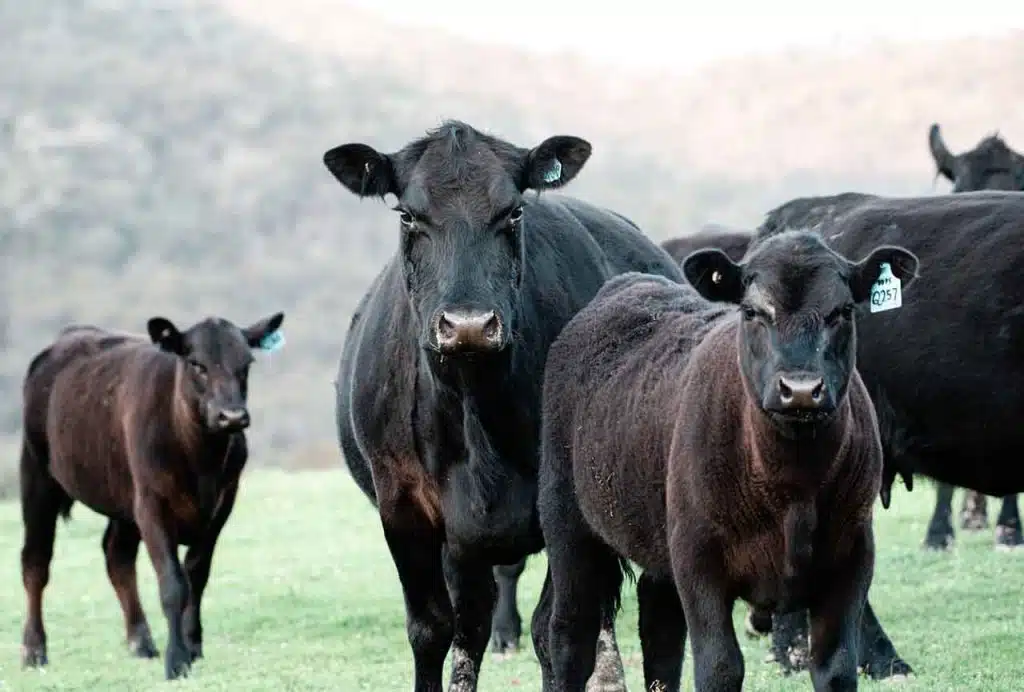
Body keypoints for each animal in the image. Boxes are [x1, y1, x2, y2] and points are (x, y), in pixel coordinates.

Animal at [19, 312, 285, 680]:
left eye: (246, 363)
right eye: (196, 364)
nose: (231, 416)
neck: (201, 461)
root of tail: (66, 339)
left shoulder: (221, 506)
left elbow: (196, 576)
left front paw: (193, 645)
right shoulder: (152, 506)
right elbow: (173, 584)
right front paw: (177, 660)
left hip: (121, 496)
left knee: (117, 556)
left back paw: (141, 642)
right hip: (37, 475)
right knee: (35, 562)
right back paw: (34, 649)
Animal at [325, 120, 684, 692]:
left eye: (513, 211)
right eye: (408, 214)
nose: (468, 324)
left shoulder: (563, 506)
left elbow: (557, 632)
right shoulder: (402, 504)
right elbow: (433, 628)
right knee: (471, 622)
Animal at [533, 230, 918, 692]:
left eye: (842, 311)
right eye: (752, 311)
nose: (801, 390)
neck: (793, 489)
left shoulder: (852, 557)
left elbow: (836, 665)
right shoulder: (698, 560)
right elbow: (720, 666)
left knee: (660, 630)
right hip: (567, 524)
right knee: (570, 634)